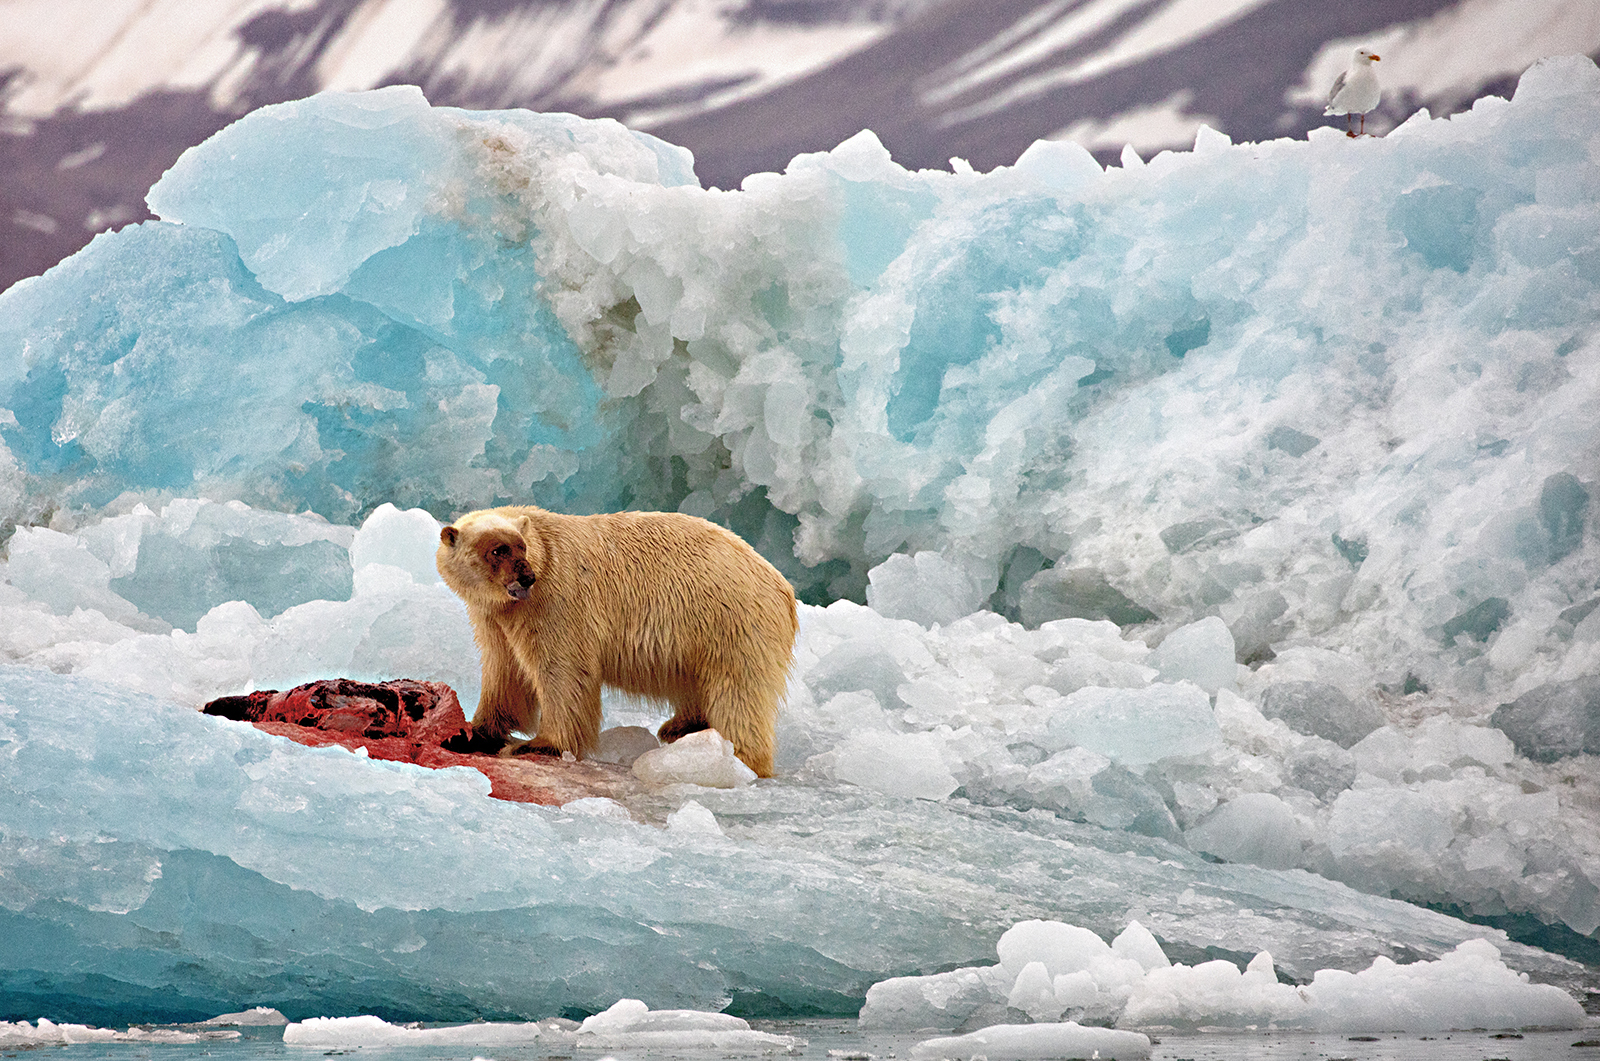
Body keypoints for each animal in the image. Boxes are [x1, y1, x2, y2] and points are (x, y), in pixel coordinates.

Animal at [436, 505, 797, 777]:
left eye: (520, 545)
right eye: (498, 550)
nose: (526, 577)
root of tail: (783, 586)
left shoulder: (555, 600)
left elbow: (562, 669)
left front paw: (538, 744)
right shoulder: (496, 616)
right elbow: (505, 671)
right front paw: (473, 732)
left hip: (731, 623)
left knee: (738, 693)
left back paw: (737, 758)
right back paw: (681, 727)